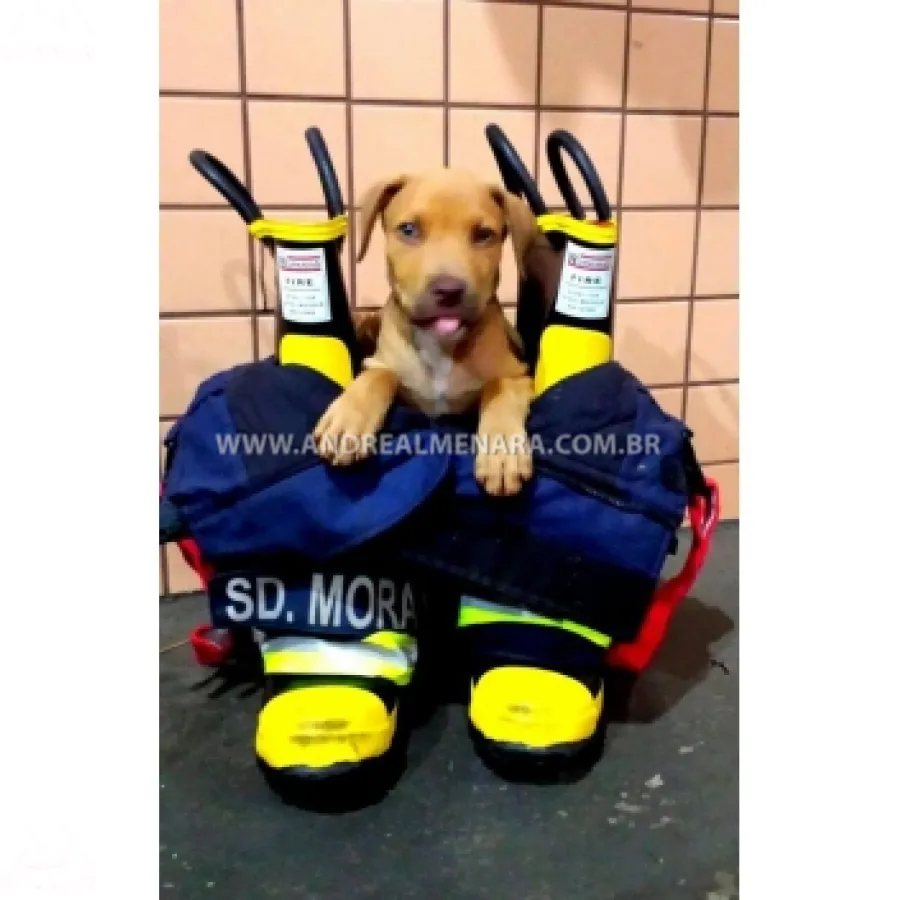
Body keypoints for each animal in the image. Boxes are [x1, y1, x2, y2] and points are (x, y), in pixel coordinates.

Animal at [314, 169, 540, 500]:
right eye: (409, 230)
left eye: (484, 235)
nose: (448, 290)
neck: (440, 344)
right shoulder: (382, 363)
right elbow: (379, 375)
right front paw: (348, 419)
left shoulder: (517, 374)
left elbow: (499, 391)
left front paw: (502, 450)